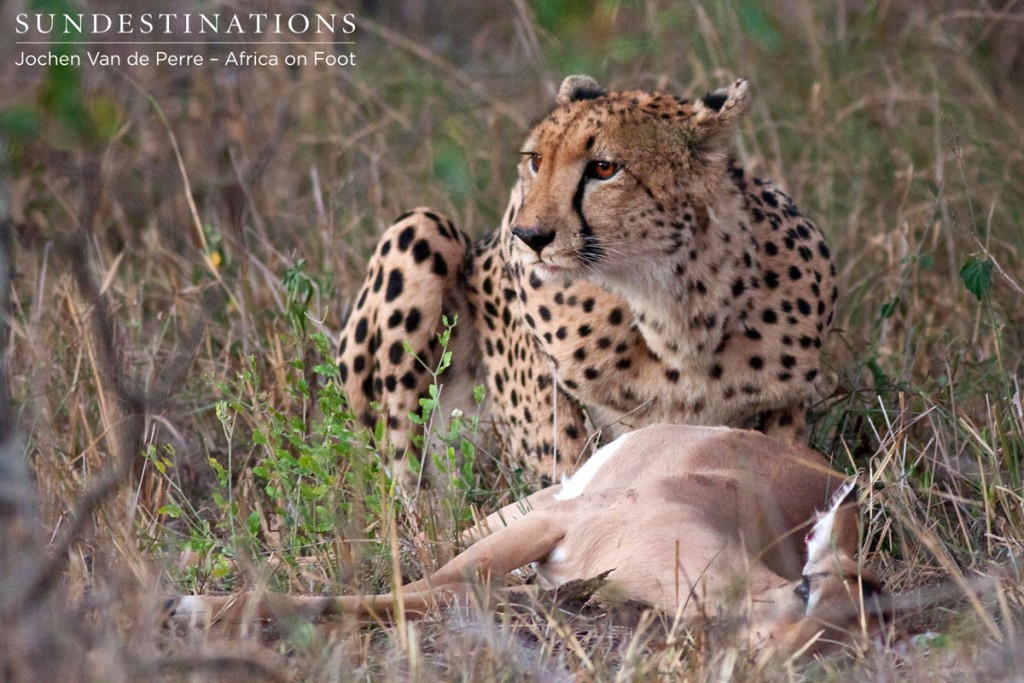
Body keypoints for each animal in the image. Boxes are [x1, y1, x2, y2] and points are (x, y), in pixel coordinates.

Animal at [339, 76, 835, 481]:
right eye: (536, 160)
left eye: (603, 168)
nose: (529, 236)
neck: (676, 307)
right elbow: (567, 457)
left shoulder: (783, 407)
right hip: (418, 229)